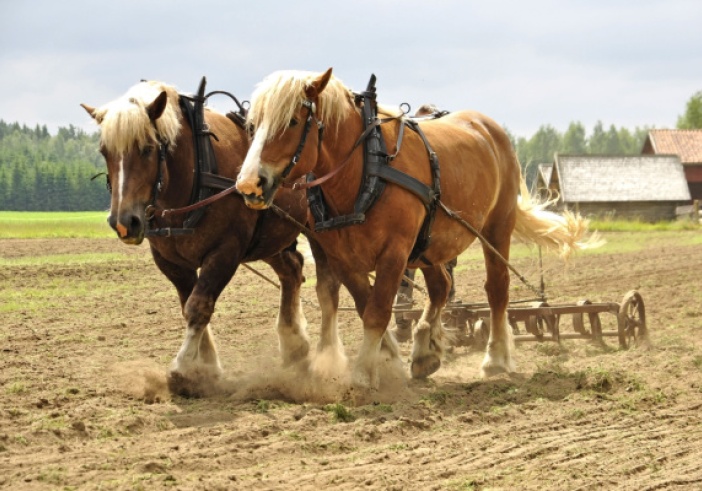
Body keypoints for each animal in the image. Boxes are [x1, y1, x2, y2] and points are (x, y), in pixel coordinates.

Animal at [81, 79, 311, 395]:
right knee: (292, 270)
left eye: (147, 148)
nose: (124, 222)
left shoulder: (226, 251)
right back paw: (295, 346)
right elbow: (188, 305)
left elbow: (199, 306)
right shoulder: (171, 261)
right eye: (105, 151)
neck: (196, 172)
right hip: (272, 238)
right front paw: (207, 368)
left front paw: (182, 370)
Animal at [235, 68, 594, 390]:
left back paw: (496, 359)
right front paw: (388, 362)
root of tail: (489, 126)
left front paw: (363, 374)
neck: (365, 170)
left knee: (497, 289)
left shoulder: (395, 252)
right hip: (429, 245)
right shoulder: (342, 257)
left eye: (292, 122)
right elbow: (367, 306)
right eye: (253, 125)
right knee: (440, 286)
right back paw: (424, 353)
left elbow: (378, 311)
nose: (249, 184)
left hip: (496, 227)